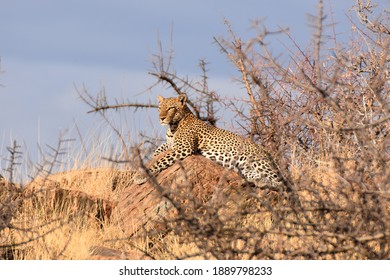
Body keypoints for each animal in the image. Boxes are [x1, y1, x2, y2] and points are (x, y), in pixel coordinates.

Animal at [136, 94, 284, 188]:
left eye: (171, 108)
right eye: (159, 108)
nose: (161, 118)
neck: (173, 126)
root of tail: (271, 153)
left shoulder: (184, 148)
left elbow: (161, 160)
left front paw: (140, 176)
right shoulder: (171, 144)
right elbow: (159, 150)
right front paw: (153, 155)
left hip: (258, 162)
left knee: (282, 185)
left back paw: (258, 184)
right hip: (245, 168)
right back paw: (249, 182)